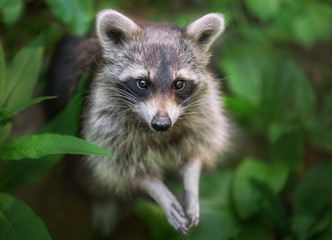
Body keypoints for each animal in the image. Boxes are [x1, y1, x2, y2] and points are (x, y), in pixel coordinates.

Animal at [50, 9, 230, 236]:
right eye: (142, 83)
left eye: (179, 83)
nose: (161, 124)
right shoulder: (103, 117)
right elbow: (118, 164)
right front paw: (157, 189)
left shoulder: (203, 107)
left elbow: (202, 143)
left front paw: (192, 177)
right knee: (87, 173)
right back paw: (102, 200)